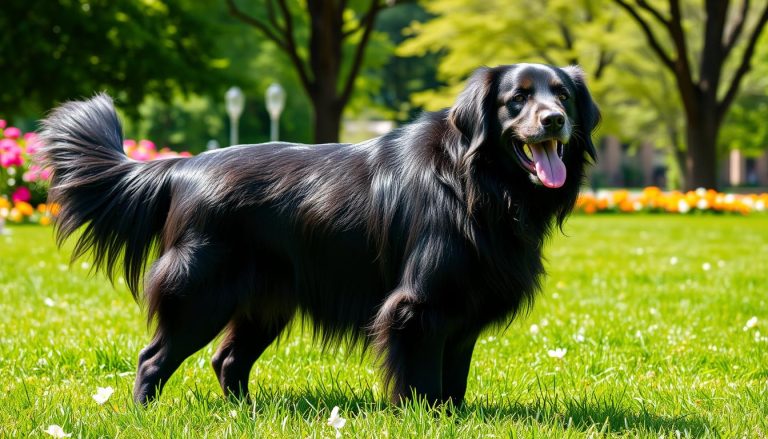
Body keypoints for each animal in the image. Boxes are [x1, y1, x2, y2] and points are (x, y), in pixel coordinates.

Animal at [39, 63, 600, 408]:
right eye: (516, 99)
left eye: (564, 95)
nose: (556, 120)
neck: (475, 182)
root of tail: (180, 168)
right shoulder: (417, 307)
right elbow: (422, 381)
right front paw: (425, 419)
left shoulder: (462, 309)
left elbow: (453, 382)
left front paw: (454, 419)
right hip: (199, 293)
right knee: (153, 358)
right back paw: (144, 413)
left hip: (265, 302)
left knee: (227, 359)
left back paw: (245, 414)